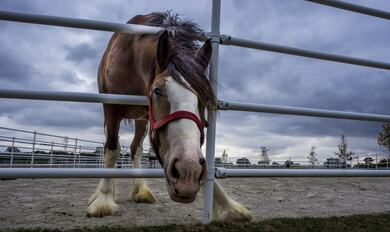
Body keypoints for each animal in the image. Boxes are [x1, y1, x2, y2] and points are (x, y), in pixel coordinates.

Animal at [87, 11, 251, 222]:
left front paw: (227, 205)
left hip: (142, 120)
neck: (131, 57)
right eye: (157, 91)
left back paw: (141, 190)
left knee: (135, 149)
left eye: (205, 97)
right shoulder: (111, 108)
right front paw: (104, 200)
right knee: (113, 146)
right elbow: (112, 150)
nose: (187, 173)